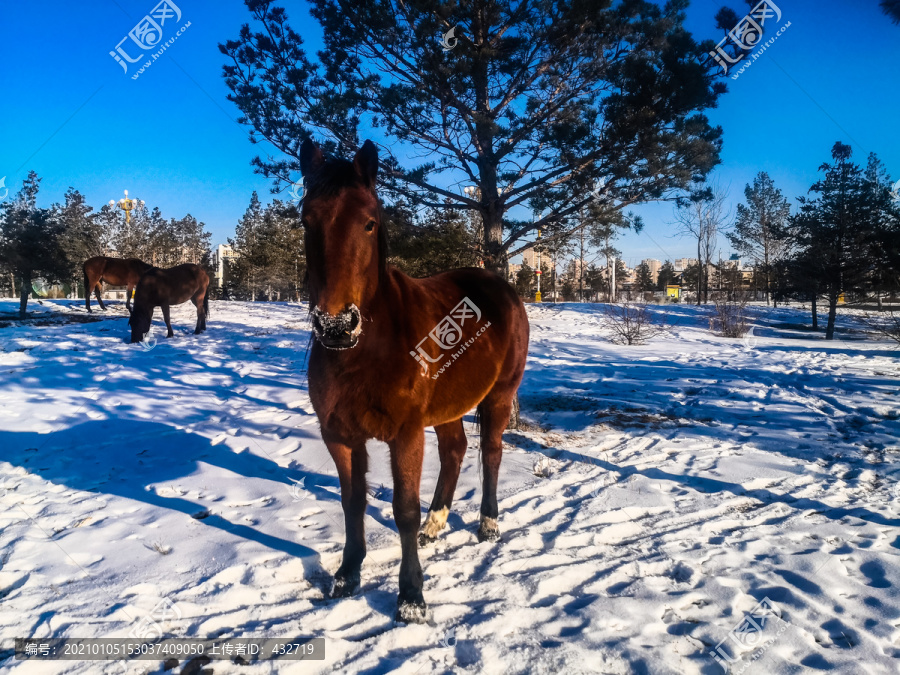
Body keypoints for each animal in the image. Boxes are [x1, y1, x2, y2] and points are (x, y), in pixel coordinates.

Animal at [298, 140, 532, 624]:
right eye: (307, 220)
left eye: (369, 222)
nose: (335, 325)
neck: (367, 349)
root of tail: (500, 286)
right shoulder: (339, 436)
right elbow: (352, 502)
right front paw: (347, 575)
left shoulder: (405, 434)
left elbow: (403, 509)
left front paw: (411, 597)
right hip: (448, 407)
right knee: (455, 451)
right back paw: (435, 524)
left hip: (499, 397)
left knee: (492, 452)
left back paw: (487, 523)